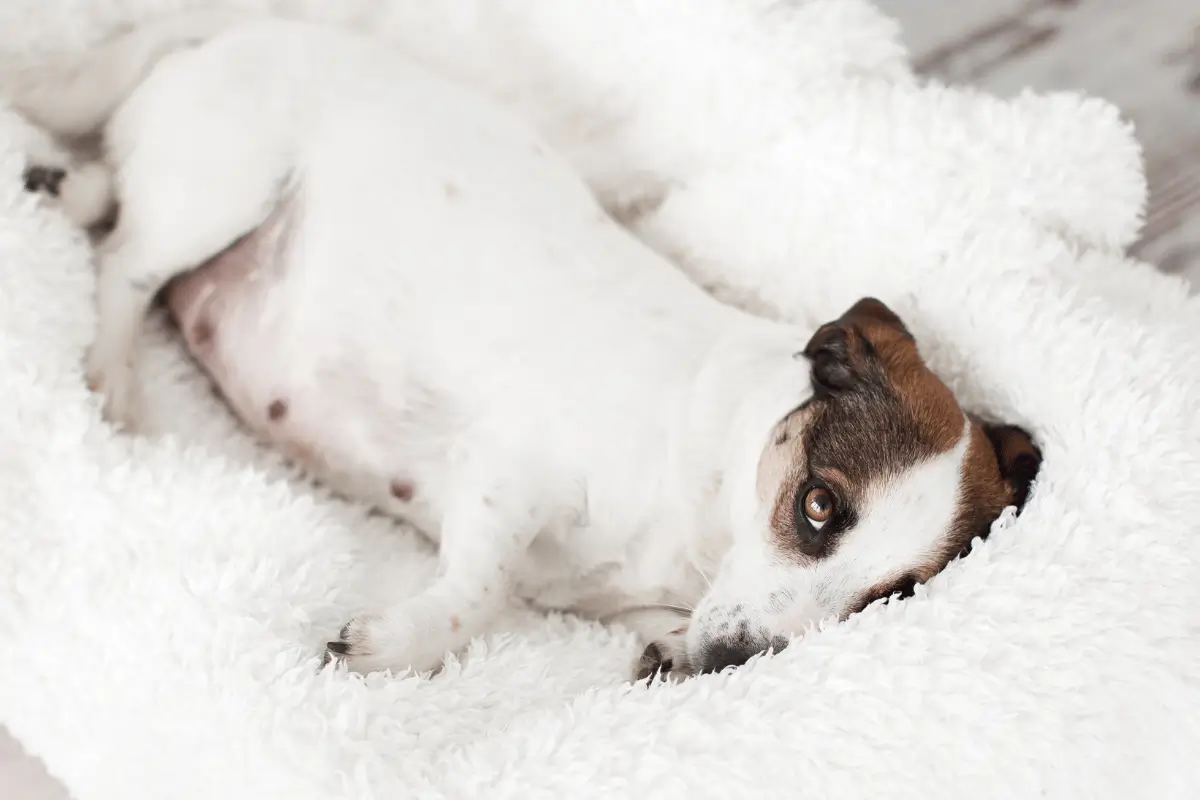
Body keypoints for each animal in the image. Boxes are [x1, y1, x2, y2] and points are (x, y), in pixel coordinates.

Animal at [9, 12, 1041, 681]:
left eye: (887, 600)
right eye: (821, 506)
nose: (731, 662)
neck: (708, 484)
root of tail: (218, 33)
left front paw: (670, 653)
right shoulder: (504, 481)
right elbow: (480, 592)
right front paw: (393, 648)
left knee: (110, 195)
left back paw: (60, 182)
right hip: (223, 187)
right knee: (124, 264)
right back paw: (112, 377)